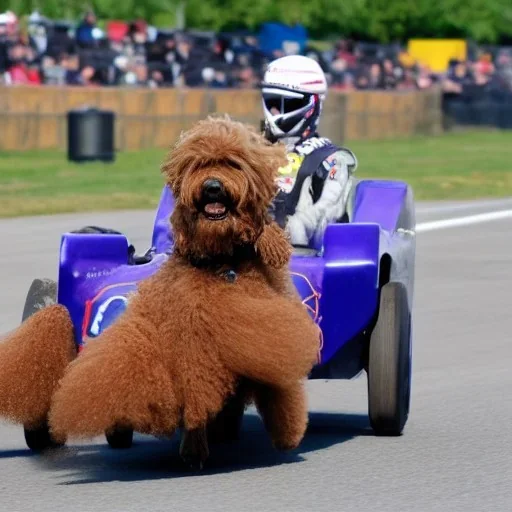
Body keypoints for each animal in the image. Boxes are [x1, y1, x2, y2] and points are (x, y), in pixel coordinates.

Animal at [0, 115, 320, 468]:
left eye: (233, 163)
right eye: (198, 164)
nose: (212, 186)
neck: (223, 262)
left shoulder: (267, 332)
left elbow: (277, 386)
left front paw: (286, 433)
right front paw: (194, 445)